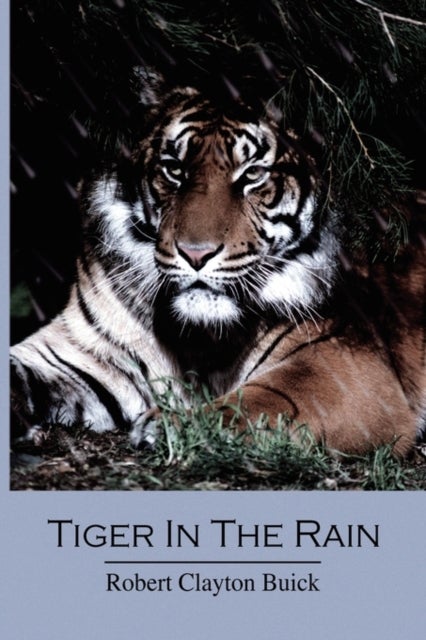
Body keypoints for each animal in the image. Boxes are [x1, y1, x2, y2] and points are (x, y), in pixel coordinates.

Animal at [10, 69, 426, 457]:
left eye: (253, 174)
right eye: (175, 170)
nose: (196, 253)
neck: (198, 337)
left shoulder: (344, 365)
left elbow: (262, 400)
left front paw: (171, 426)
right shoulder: (79, 351)